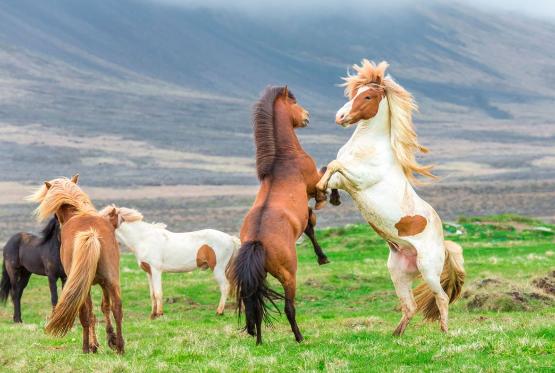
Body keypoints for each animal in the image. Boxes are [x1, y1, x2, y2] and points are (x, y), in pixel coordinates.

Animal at [228, 85, 328, 344]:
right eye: (294, 103)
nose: (306, 115)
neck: (283, 160)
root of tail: (257, 242)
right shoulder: (313, 184)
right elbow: (325, 178)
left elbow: (310, 222)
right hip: (288, 275)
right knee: (289, 307)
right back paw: (299, 337)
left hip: (258, 278)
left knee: (254, 306)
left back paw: (259, 341)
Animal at [318, 60, 464, 334]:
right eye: (353, 93)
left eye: (368, 96)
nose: (339, 117)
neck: (368, 146)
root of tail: (444, 244)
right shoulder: (346, 181)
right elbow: (327, 170)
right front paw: (324, 195)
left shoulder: (360, 180)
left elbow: (333, 165)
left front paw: (322, 192)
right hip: (398, 272)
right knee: (410, 306)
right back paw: (395, 335)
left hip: (428, 269)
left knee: (441, 297)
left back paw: (444, 331)